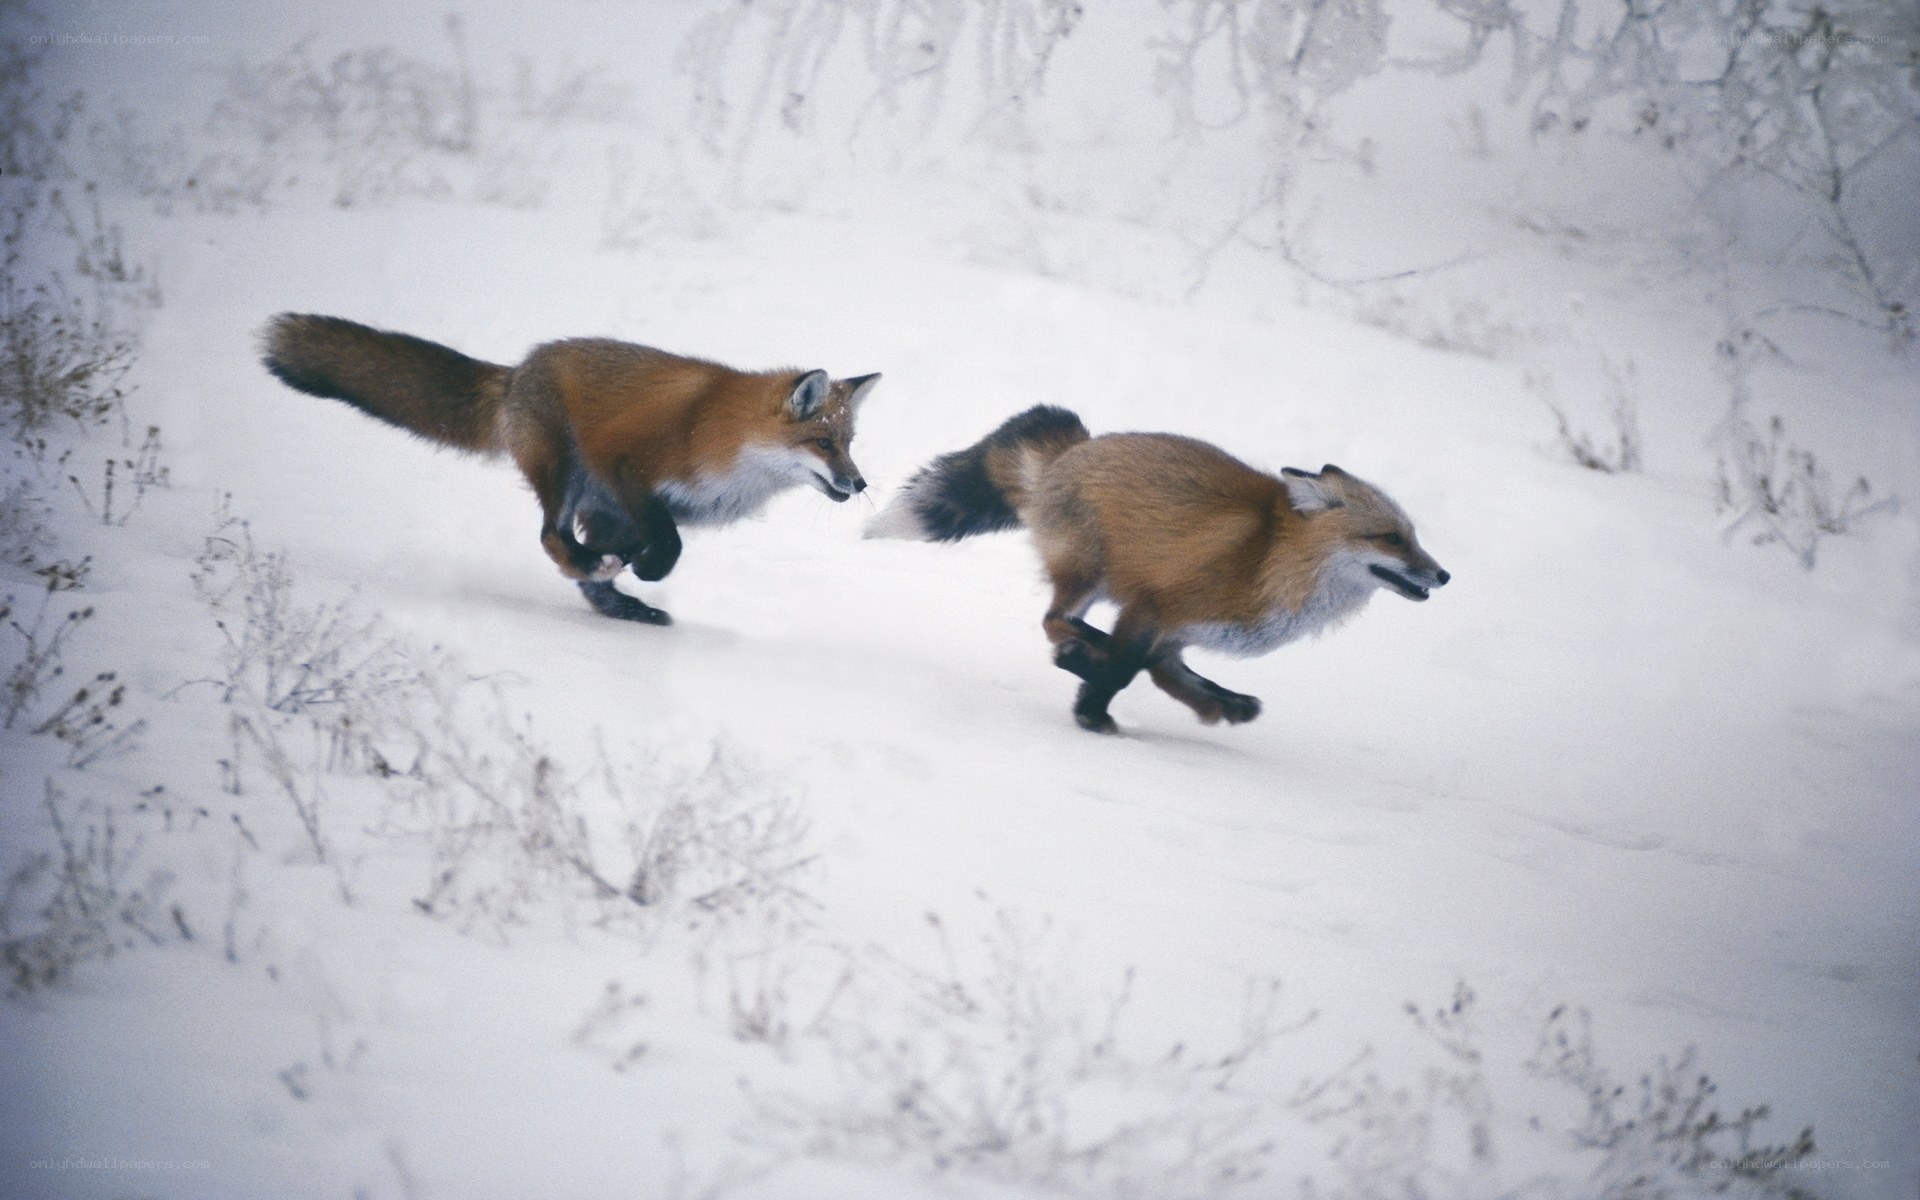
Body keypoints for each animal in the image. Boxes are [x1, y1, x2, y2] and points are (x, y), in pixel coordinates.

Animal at [260, 313, 880, 625]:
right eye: (823, 442)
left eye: (849, 444)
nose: (860, 483)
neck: (730, 443)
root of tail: (518, 370)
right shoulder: (625, 463)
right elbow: (667, 544)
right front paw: (645, 570)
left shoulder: (652, 508)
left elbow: (650, 545)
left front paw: (633, 575)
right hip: (566, 470)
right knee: (551, 539)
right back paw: (603, 574)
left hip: (590, 498)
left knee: (581, 566)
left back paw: (625, 604)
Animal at [866, 406, 1450, 733]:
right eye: (1391, 538)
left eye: (1414, 536)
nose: (1444, 577)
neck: (1271, 560)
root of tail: (1077, 446)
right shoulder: (1153, 606)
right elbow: (1127, 669)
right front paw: (1092, 713)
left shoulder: (1179, 632)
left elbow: (1169, 673)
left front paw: (1220, 705)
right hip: (1088, 573)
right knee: (1055, 621)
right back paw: (1082, 652)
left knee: (1084, 634)